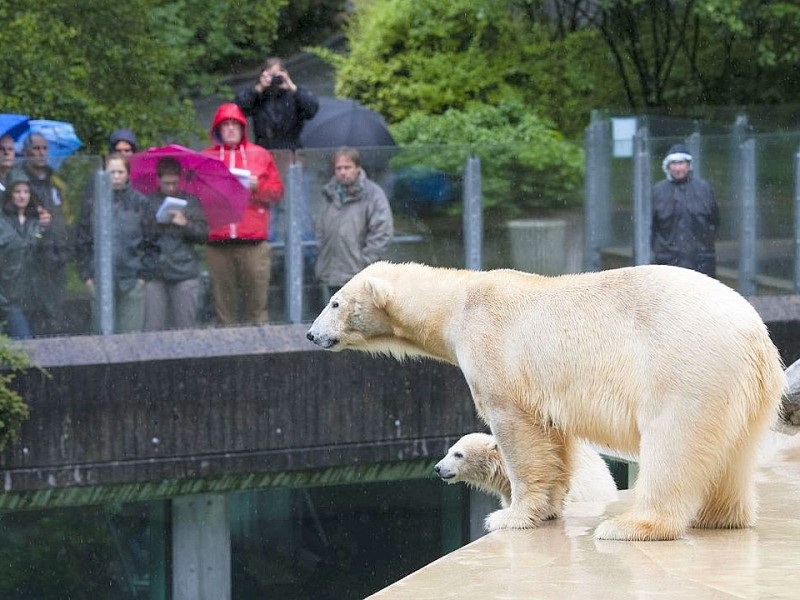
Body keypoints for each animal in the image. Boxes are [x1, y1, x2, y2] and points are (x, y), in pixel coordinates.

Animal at [308, 262, 788, 540]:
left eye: (334, 302)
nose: (311, 334)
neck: (457, 302)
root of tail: (754, 334)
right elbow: (554, 437)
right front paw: (550, 509)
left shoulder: (495, 352)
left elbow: (518, 431)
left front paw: (510, 516)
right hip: (745, 389)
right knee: (735, 451)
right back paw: (720, 517)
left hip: (686, 366)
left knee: (673, 443)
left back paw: (630, 526)